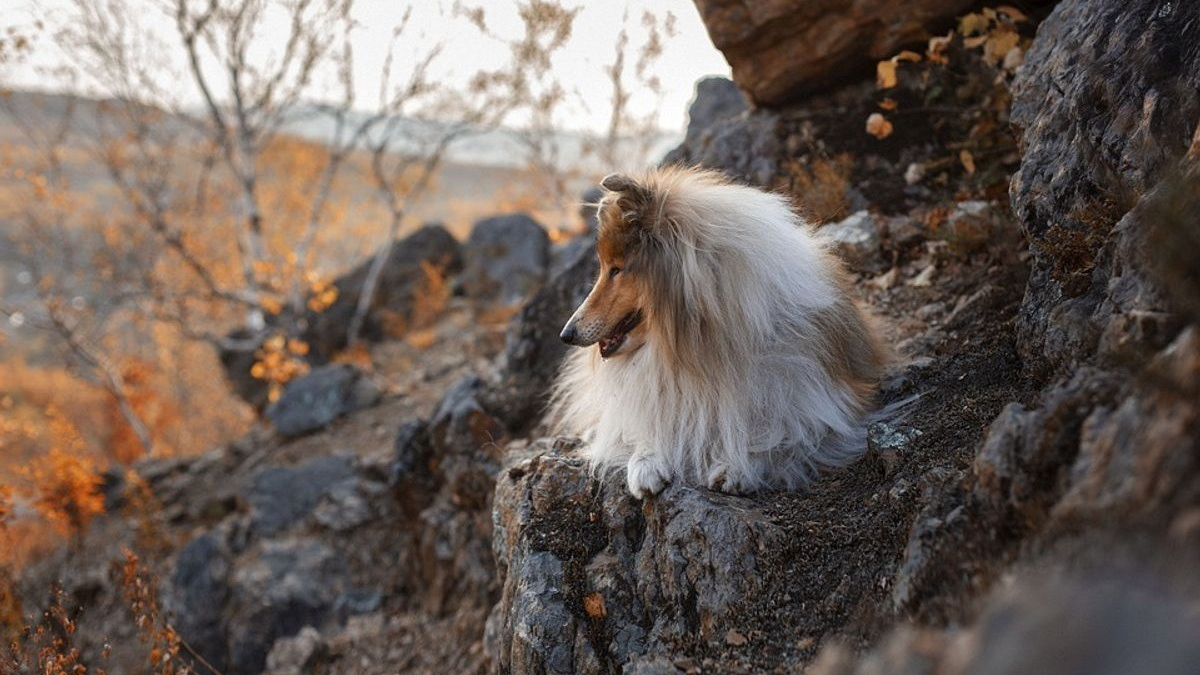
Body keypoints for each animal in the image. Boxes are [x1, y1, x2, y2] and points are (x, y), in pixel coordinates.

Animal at [549, 165, 888, 497]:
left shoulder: (823, 406)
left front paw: (737, 467)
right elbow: (644, 426)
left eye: (616, 269)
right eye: (605, 268)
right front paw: (646, 463)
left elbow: (780, 439)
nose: (566, 334)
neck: (697, 349)